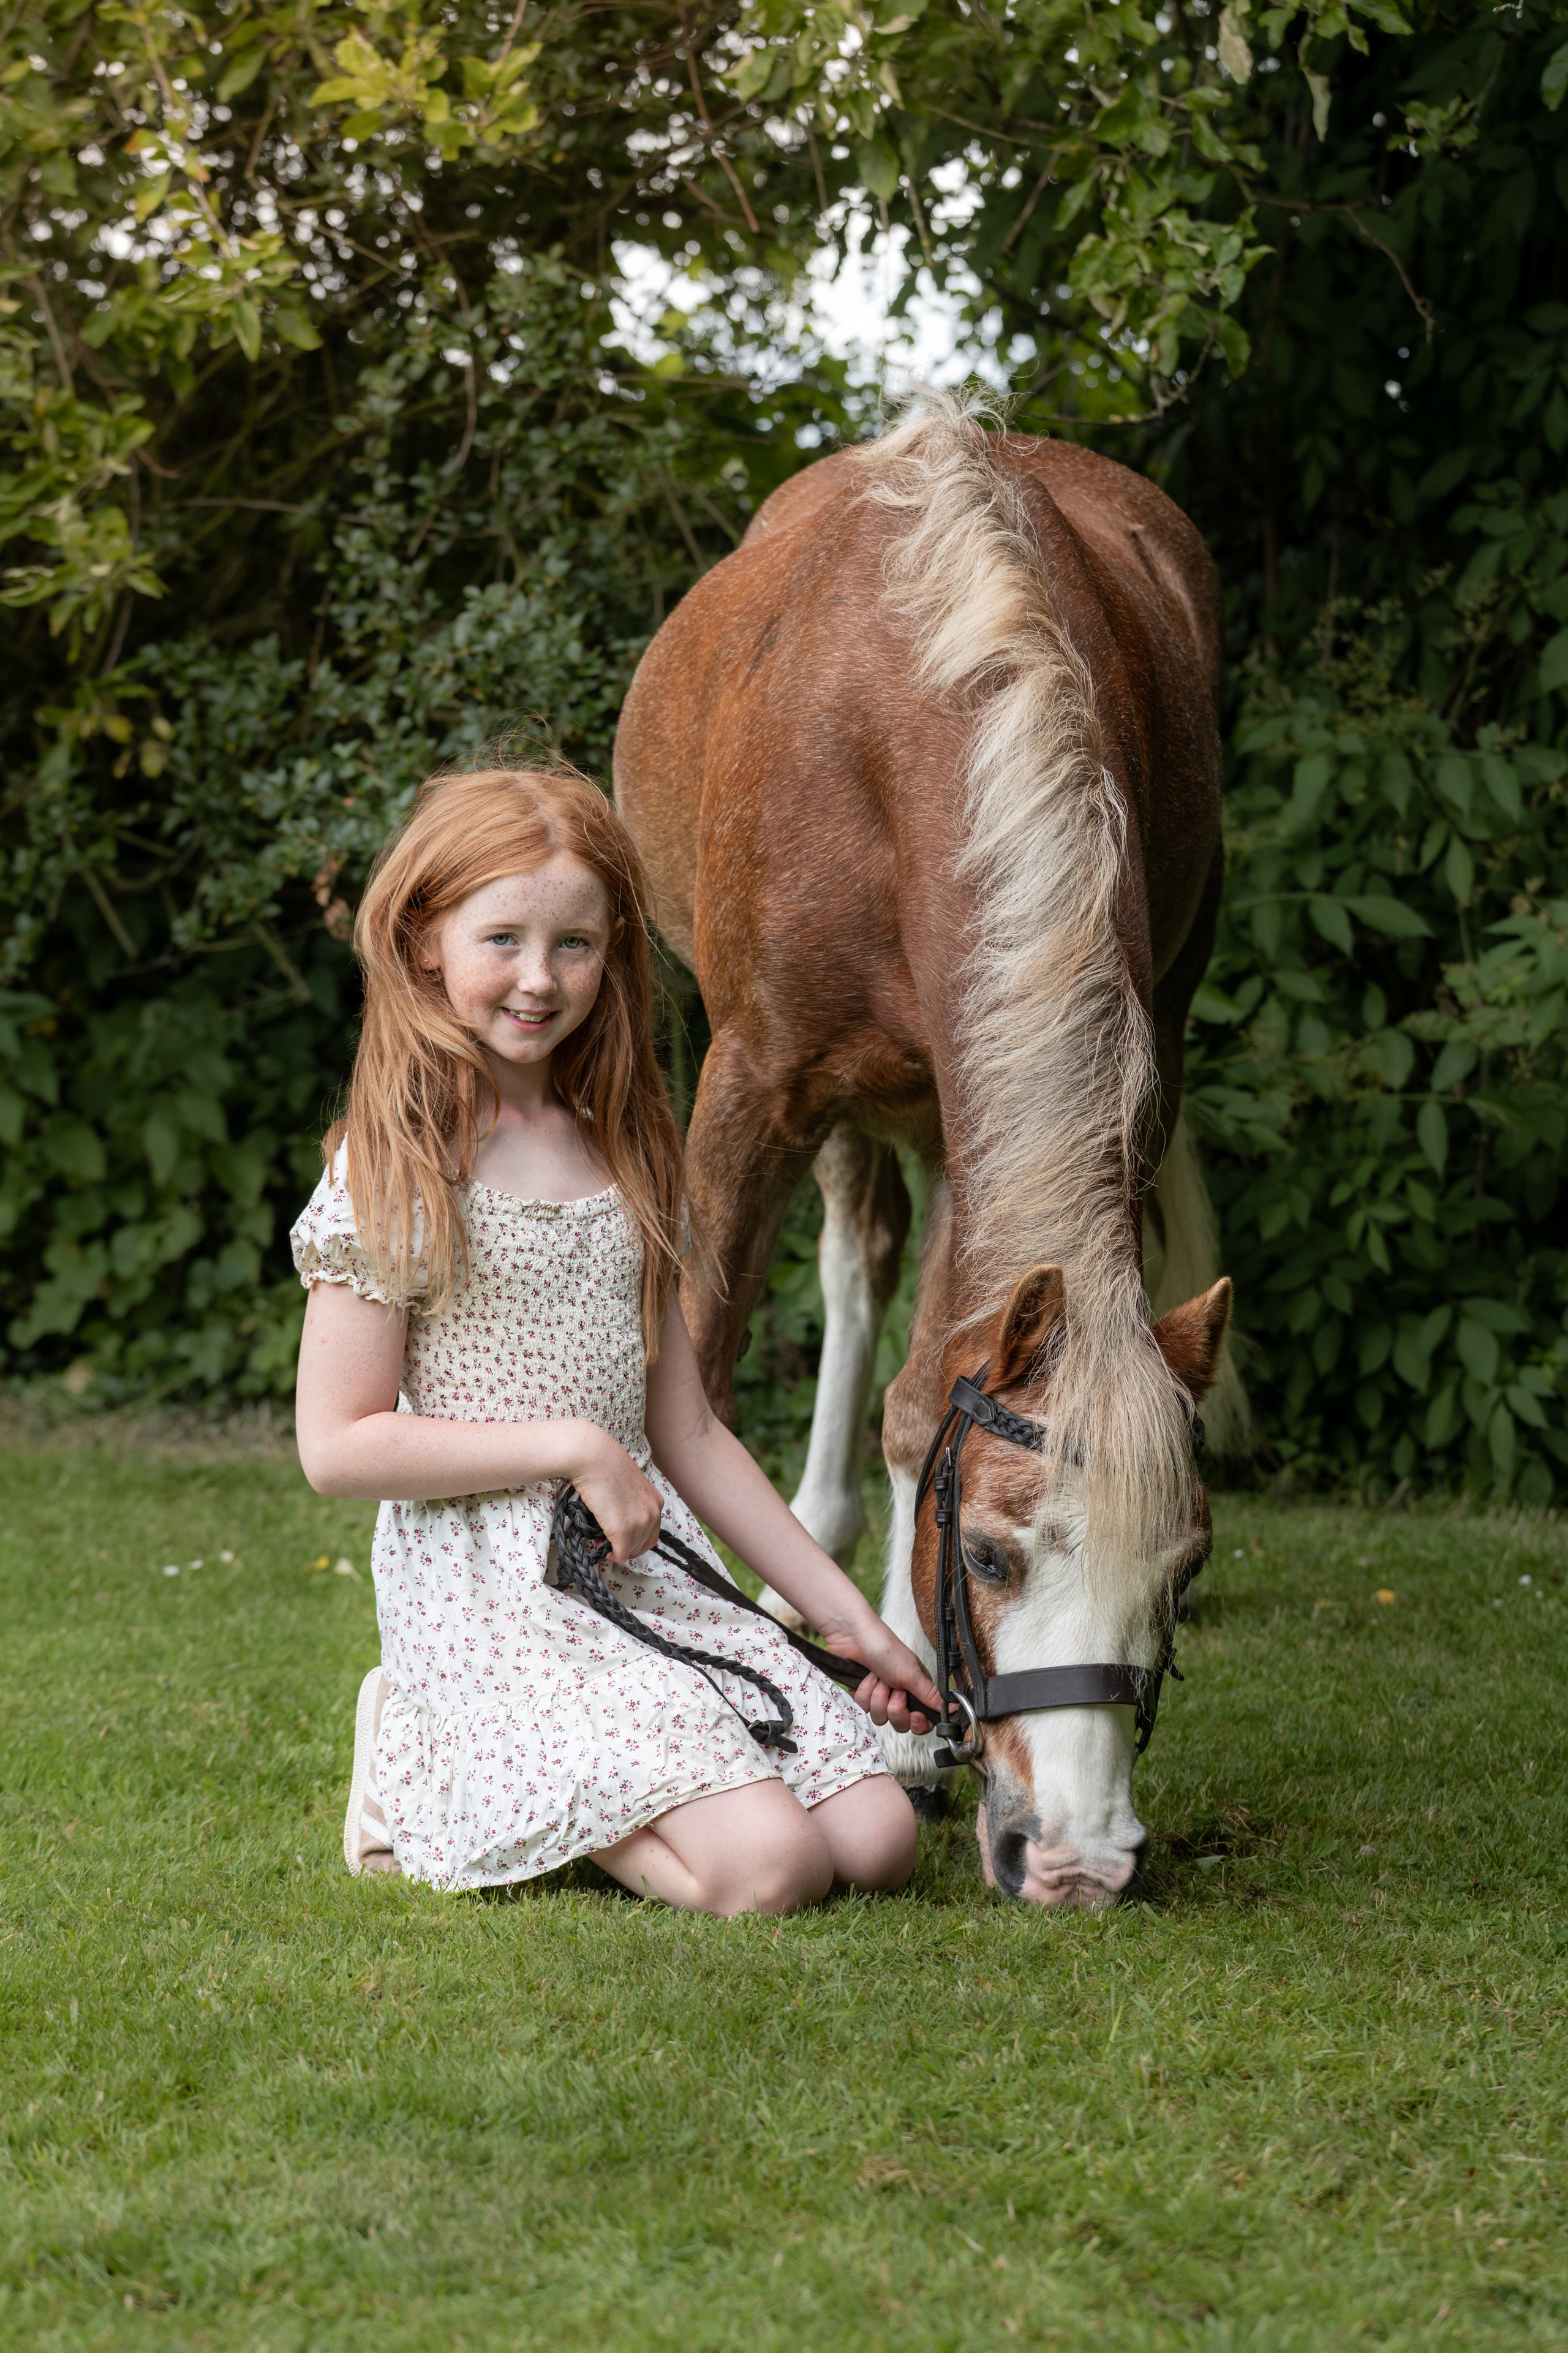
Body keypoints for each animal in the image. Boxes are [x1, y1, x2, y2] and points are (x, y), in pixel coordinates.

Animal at [614, 394, 1241, 1907]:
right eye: (995, 1558)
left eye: (1182, 1575)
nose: (1079, 1861)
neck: (914, 718)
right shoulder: (754, 1082)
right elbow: (693, 1365)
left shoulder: (1005, 1101)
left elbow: (924, 1402)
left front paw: (900, 1719)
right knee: (851, 1268)